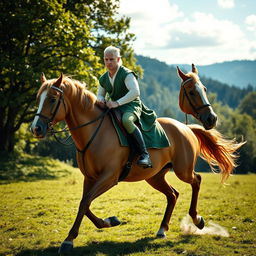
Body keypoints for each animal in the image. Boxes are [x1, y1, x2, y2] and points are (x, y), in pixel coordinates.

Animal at [30, 63, 244, 254]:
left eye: (52, 99)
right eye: (38, 98)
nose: (36, 128)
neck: (94, 132)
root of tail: (186, 127)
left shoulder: (109, 178)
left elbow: (85, 203)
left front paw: (68, 240)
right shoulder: (89, 178)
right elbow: (85, 203)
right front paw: (109, 221)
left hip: (183, 171)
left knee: (196, 181)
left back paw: (197, 220)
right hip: (154, 177)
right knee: (172, 194)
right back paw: (162, 229)